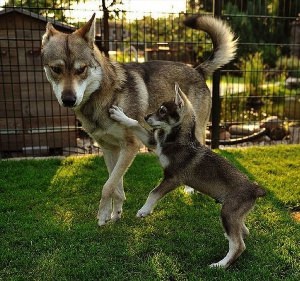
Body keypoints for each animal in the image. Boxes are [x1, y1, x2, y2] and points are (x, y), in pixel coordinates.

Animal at [41, 14, 237, 225]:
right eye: (56, 69)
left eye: (81, 69)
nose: (69, 100)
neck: (104, 97)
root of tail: (197, 69)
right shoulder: (109, 149)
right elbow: (115, 185)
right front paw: (115, 213)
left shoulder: (130, 146)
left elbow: (107, 186)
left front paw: (102, 215)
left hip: (195, 132)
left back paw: (190, 188)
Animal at [109, 82, 264, 266]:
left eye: (162, 110)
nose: (146, 117)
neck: (176, 139)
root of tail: (255, 189)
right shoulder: (153, 142)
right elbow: (135, 124)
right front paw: (120, 115)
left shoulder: (173, 178)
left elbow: (153, 193)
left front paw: (144, 211)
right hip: (235, 216)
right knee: (243, 232)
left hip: (228, 213)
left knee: (238, 245)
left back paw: (220, 265)